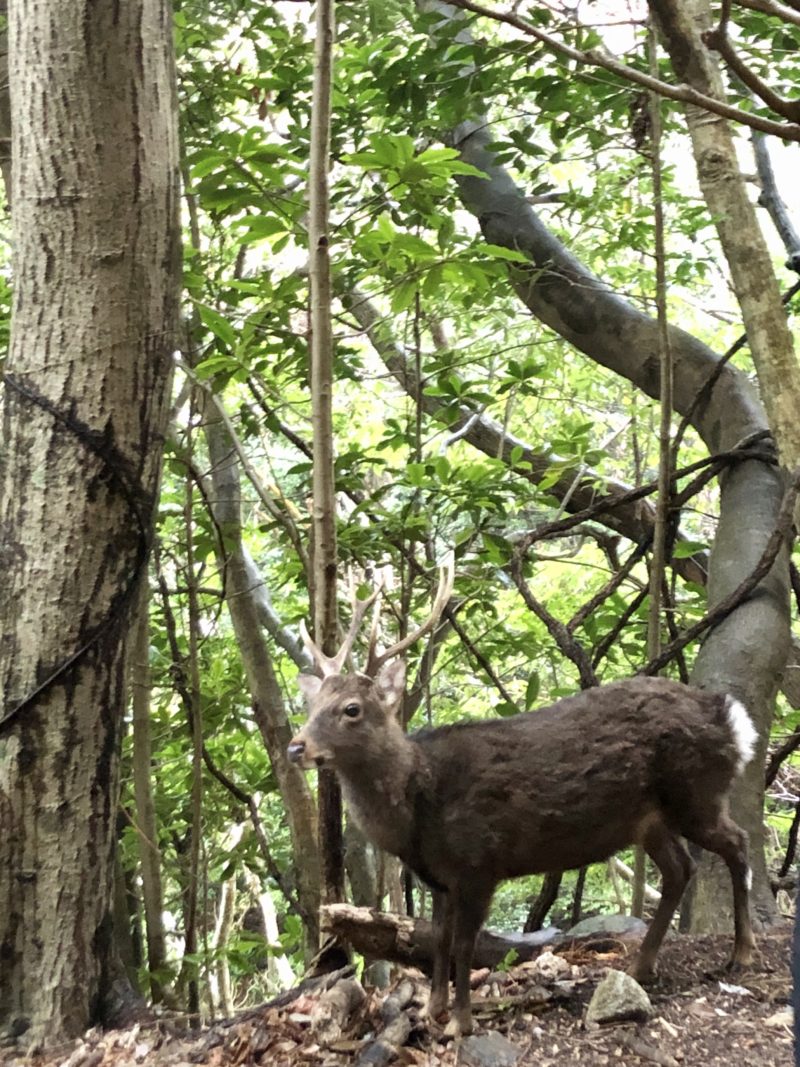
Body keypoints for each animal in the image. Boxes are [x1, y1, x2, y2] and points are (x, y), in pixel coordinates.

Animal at [288, 563, 759, 1037]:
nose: (295, 747)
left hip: (696, 794)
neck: (418, 809)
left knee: (737, 843)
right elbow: (437, 941)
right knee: (681, 869)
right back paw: (642, 966)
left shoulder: (480, 863)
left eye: (351, 709)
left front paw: (461, 1023)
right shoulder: (439, 879)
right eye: (310, 704)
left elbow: (464, 944)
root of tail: (732, 717)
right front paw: (431, 1010)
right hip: (651, 820)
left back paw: (741, 954)